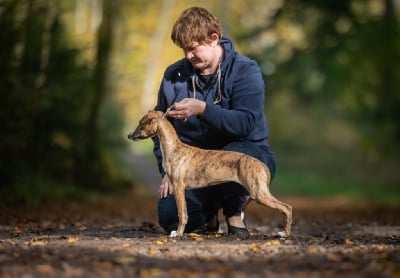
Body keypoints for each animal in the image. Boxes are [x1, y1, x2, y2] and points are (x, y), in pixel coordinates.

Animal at [130, 109, 292, 238]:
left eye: (141, 123)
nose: (129, 135)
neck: (174, 148)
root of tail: (262, 165)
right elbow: (185, 214)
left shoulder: (178, 187)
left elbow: (182, 214)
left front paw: (178, 233)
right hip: (255, 192)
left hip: (259, 193)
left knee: (287, 208)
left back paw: (285, 234)